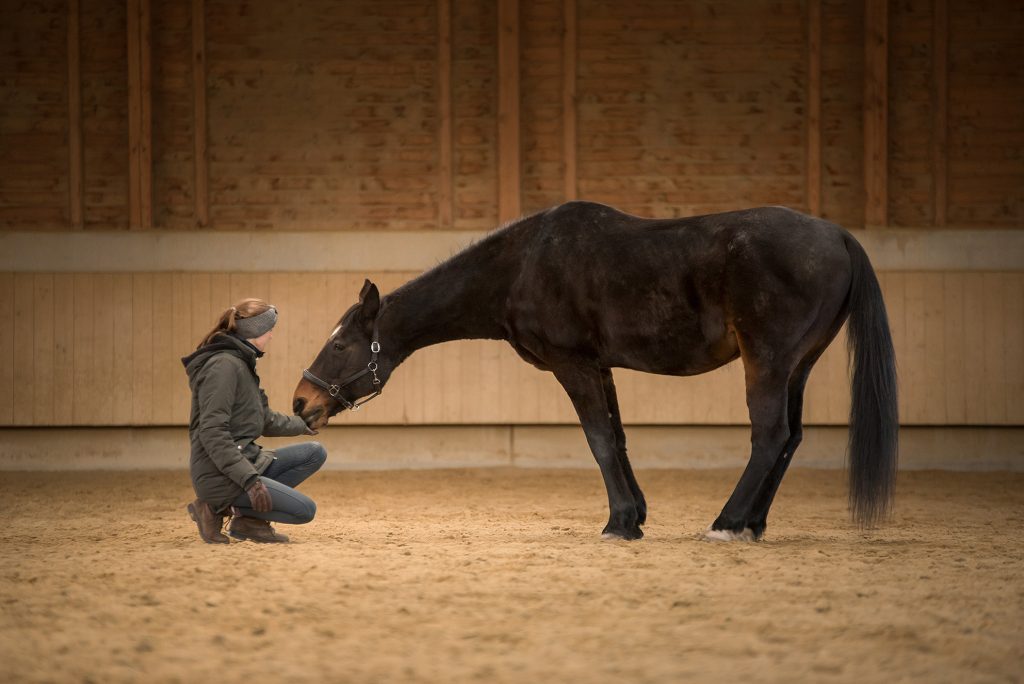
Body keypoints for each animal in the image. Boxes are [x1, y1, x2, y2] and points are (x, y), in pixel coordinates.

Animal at [294, 200, 897, 540]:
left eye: (342, 344)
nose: (302, 402)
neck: (522, 265)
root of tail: (839, 236)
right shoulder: (602, 367)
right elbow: (619, 438)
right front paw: (637, 517)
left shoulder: (574, 365)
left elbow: (599, 440)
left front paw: (619, 523)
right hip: (798, 366)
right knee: (790, 439)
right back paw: (752, 523)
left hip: (767, 362)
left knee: (769, 436)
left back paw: (727, 524)